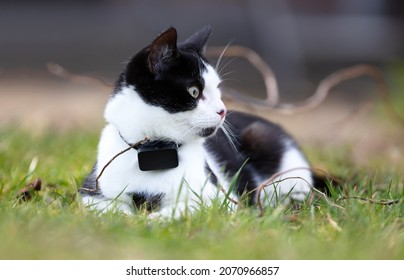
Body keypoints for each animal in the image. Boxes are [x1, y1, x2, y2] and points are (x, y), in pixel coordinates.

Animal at [79, 26, 312, 218]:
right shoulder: (90, 192)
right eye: (194, 91)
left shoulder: (221, 199)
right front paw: (132, 218)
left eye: (217, 89)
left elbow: (188, 208)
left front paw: (154, 219)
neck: (155, 150)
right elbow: (112, 209)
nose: (223, 111)